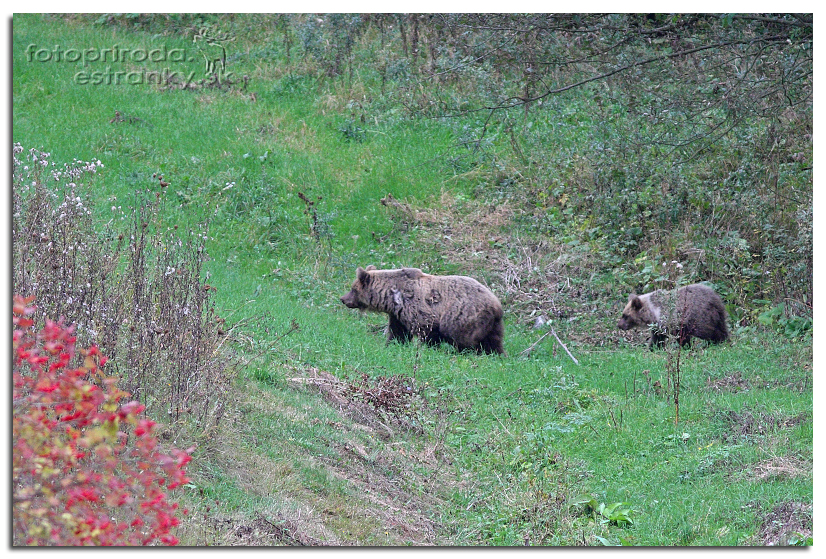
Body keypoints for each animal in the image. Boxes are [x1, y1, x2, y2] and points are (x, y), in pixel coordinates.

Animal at [340, 266, 502, 354]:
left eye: (353, 289)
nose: (343, 299)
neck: (392, 298)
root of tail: (496, 305)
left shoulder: (419, 310)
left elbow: (428, 332)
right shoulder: (398, 315)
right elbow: (398, 332)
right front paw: (391, 345)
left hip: (464, 316)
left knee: (465, 340)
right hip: (492, 325)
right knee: (493, 342)